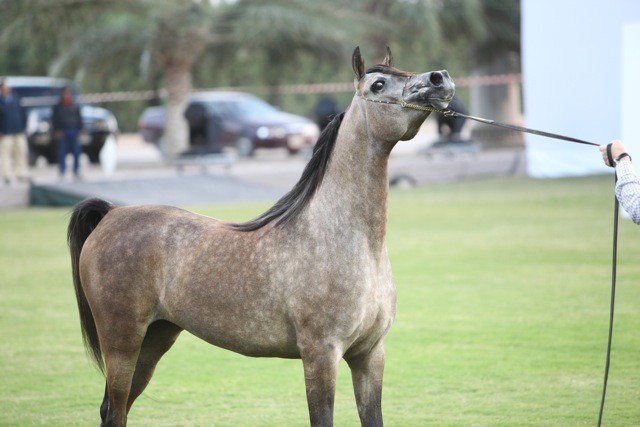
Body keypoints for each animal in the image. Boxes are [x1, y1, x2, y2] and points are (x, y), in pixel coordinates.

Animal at [67, 46, 454, 426]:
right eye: (378, 85)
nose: (440, 79)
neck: (345, 240)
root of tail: (111, 213)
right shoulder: (320, 354)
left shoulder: (370, 355)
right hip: (122, 342)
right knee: (115, 410)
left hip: (154, 340)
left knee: (112, 409)